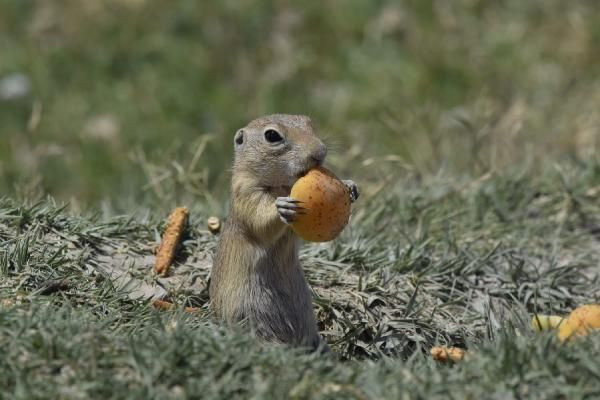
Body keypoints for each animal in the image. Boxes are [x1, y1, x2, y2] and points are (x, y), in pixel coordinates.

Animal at [210, 113, 356, 350]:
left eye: (309, 123)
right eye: (272, 135)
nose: (320, 153)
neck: (283, 186)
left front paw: (350, 185)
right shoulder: (246, 194)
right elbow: (259, 220)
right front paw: (282, 207)